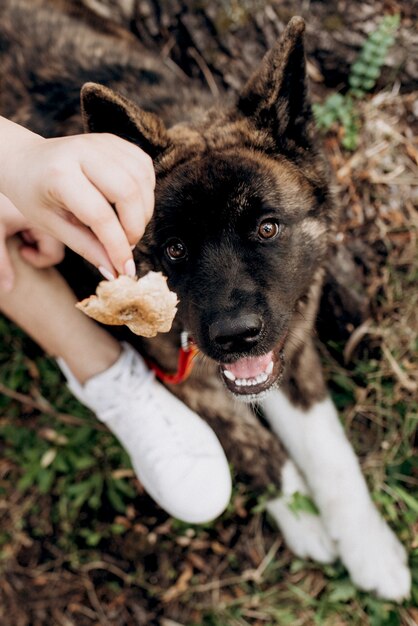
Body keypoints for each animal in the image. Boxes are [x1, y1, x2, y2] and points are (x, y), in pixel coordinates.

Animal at [0, 0, 412, 596]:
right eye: (174, 249)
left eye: (267, 228)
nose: (235, 335)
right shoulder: (180, 369)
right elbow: (249, 440)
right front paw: (303, 519)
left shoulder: (291, 347)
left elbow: (329, 449)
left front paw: (369, 548)